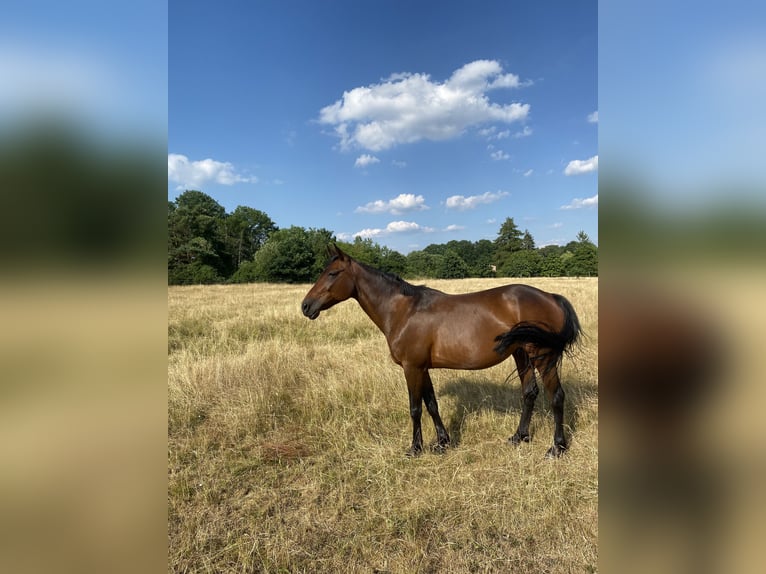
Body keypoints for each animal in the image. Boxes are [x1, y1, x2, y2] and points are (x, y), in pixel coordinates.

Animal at [300, 244, 584, 460]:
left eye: (333, 273)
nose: (305, 306)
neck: (404, 311)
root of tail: (551, 296)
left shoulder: (411, 367)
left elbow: (415, 408)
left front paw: (415, 448)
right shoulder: (422, 368)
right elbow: (431, 404)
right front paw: (442, 442)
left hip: (542, 356)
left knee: (556, 396)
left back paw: (557, 448)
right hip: (521, 353)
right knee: (529, 393)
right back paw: (519, 436)